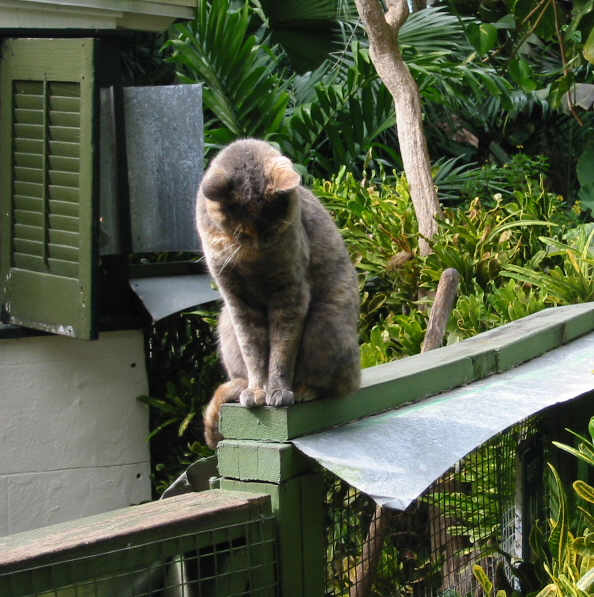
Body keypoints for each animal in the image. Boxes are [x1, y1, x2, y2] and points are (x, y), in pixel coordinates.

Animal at [197, 139, 358, 448]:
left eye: (272, 229)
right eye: (242, 232)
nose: (260, 245)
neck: (253, 263)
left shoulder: (291, 294)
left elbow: (281, 351)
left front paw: (277, 392)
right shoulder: (237, 301)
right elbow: (254, 351)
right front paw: (257, 391)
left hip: (325, 323)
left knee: (334, 385)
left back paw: (304, 390)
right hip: (225, 324)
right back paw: (242, 388)